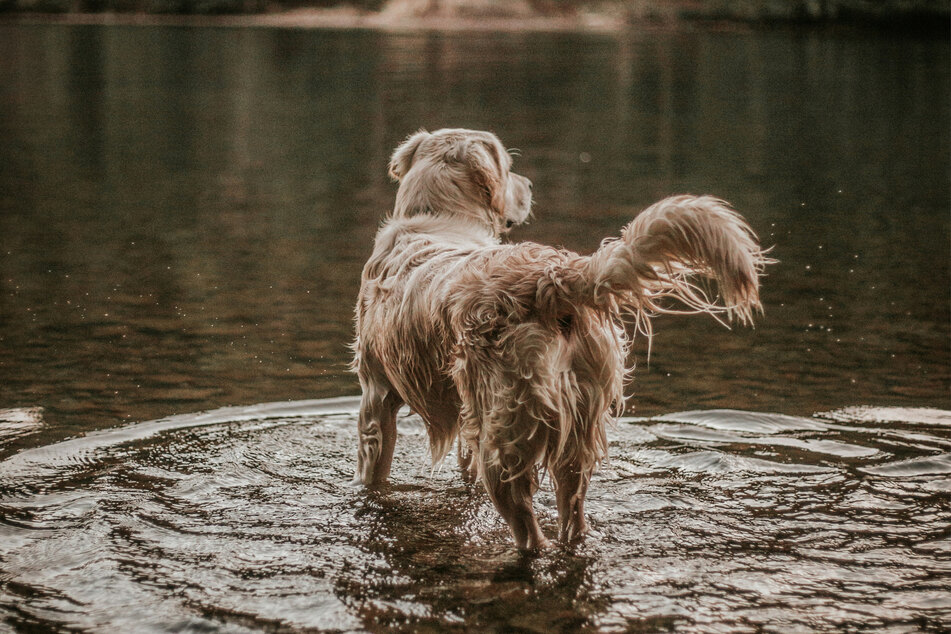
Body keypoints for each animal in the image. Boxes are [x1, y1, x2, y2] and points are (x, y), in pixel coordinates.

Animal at [354, 128, 768, 548]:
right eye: (510, 167)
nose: (529, 185)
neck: (437, 219)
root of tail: (552, 277)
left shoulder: (376, 398)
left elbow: (372, 471)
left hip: (503, 436)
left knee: (528, 530)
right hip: (575, 424)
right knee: (572, 512)